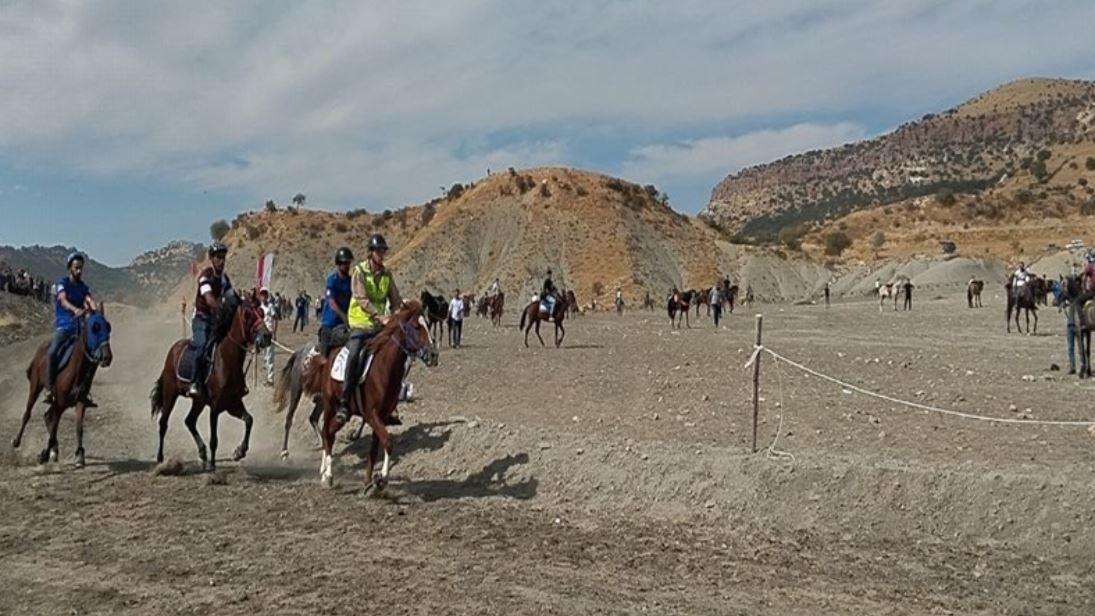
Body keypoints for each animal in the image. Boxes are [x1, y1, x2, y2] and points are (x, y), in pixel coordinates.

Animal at [12, 308, 113, 468]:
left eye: (108, 327)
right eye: (94, 328)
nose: (107, 357)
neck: (77, 369)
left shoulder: (80, 401)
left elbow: (78, 427)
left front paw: (79, 455)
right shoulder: (59, 401)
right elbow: (54, 428)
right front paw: (44, 455)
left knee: (47, 416)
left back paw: (55, 450)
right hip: (36, 386)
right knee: (28, 413)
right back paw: (17, 441)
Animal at [150, 291, 271, 470]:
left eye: (262, 312)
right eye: (247, 314)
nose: (267, 336)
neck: (226, 361)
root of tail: (174, 349)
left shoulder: (233, 404)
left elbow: (249, 420)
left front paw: (239, 452)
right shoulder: (215, 407)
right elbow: (214, 439)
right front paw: (213, 467)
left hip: (198, 401)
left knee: (189, 421)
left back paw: (202, 453)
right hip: (170, 394)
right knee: (163, 423)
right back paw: (160, 457)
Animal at [306, 299, 438, 492]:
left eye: (428, 324)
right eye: (416, 326)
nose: (433, 355)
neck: (383, 369)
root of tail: (328, 356)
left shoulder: (381, 417)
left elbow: (374, 450)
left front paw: (369, 483)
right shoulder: (372, 415)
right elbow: (388, 442)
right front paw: (381, 479)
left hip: (344, 412)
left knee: (330, 432)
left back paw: (324, 472)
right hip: (330, 405)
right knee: (326, 434)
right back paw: (328, 476)